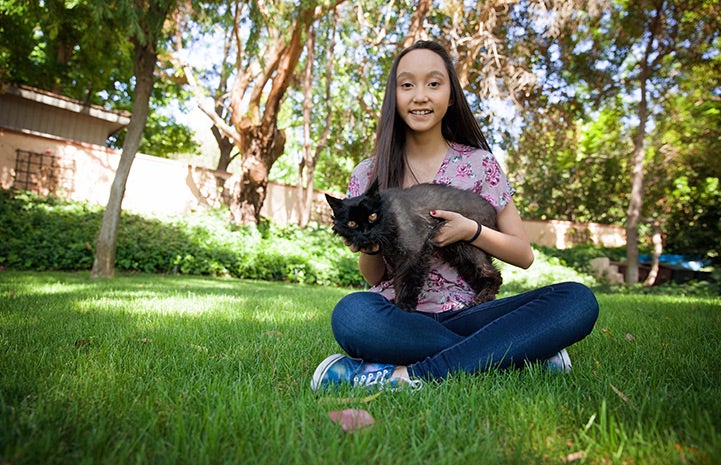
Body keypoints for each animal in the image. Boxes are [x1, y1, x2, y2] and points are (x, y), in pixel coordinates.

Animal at [326, 182, 500, 312]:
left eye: (372, 216)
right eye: (352, 223)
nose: (366, 232)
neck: (389, 214)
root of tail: (491, 209)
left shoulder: (413, 252)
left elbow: (406, 280)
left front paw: (403, 305)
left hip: (467, 248)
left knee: (494, 274)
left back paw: (483, 298)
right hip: (459, 255)